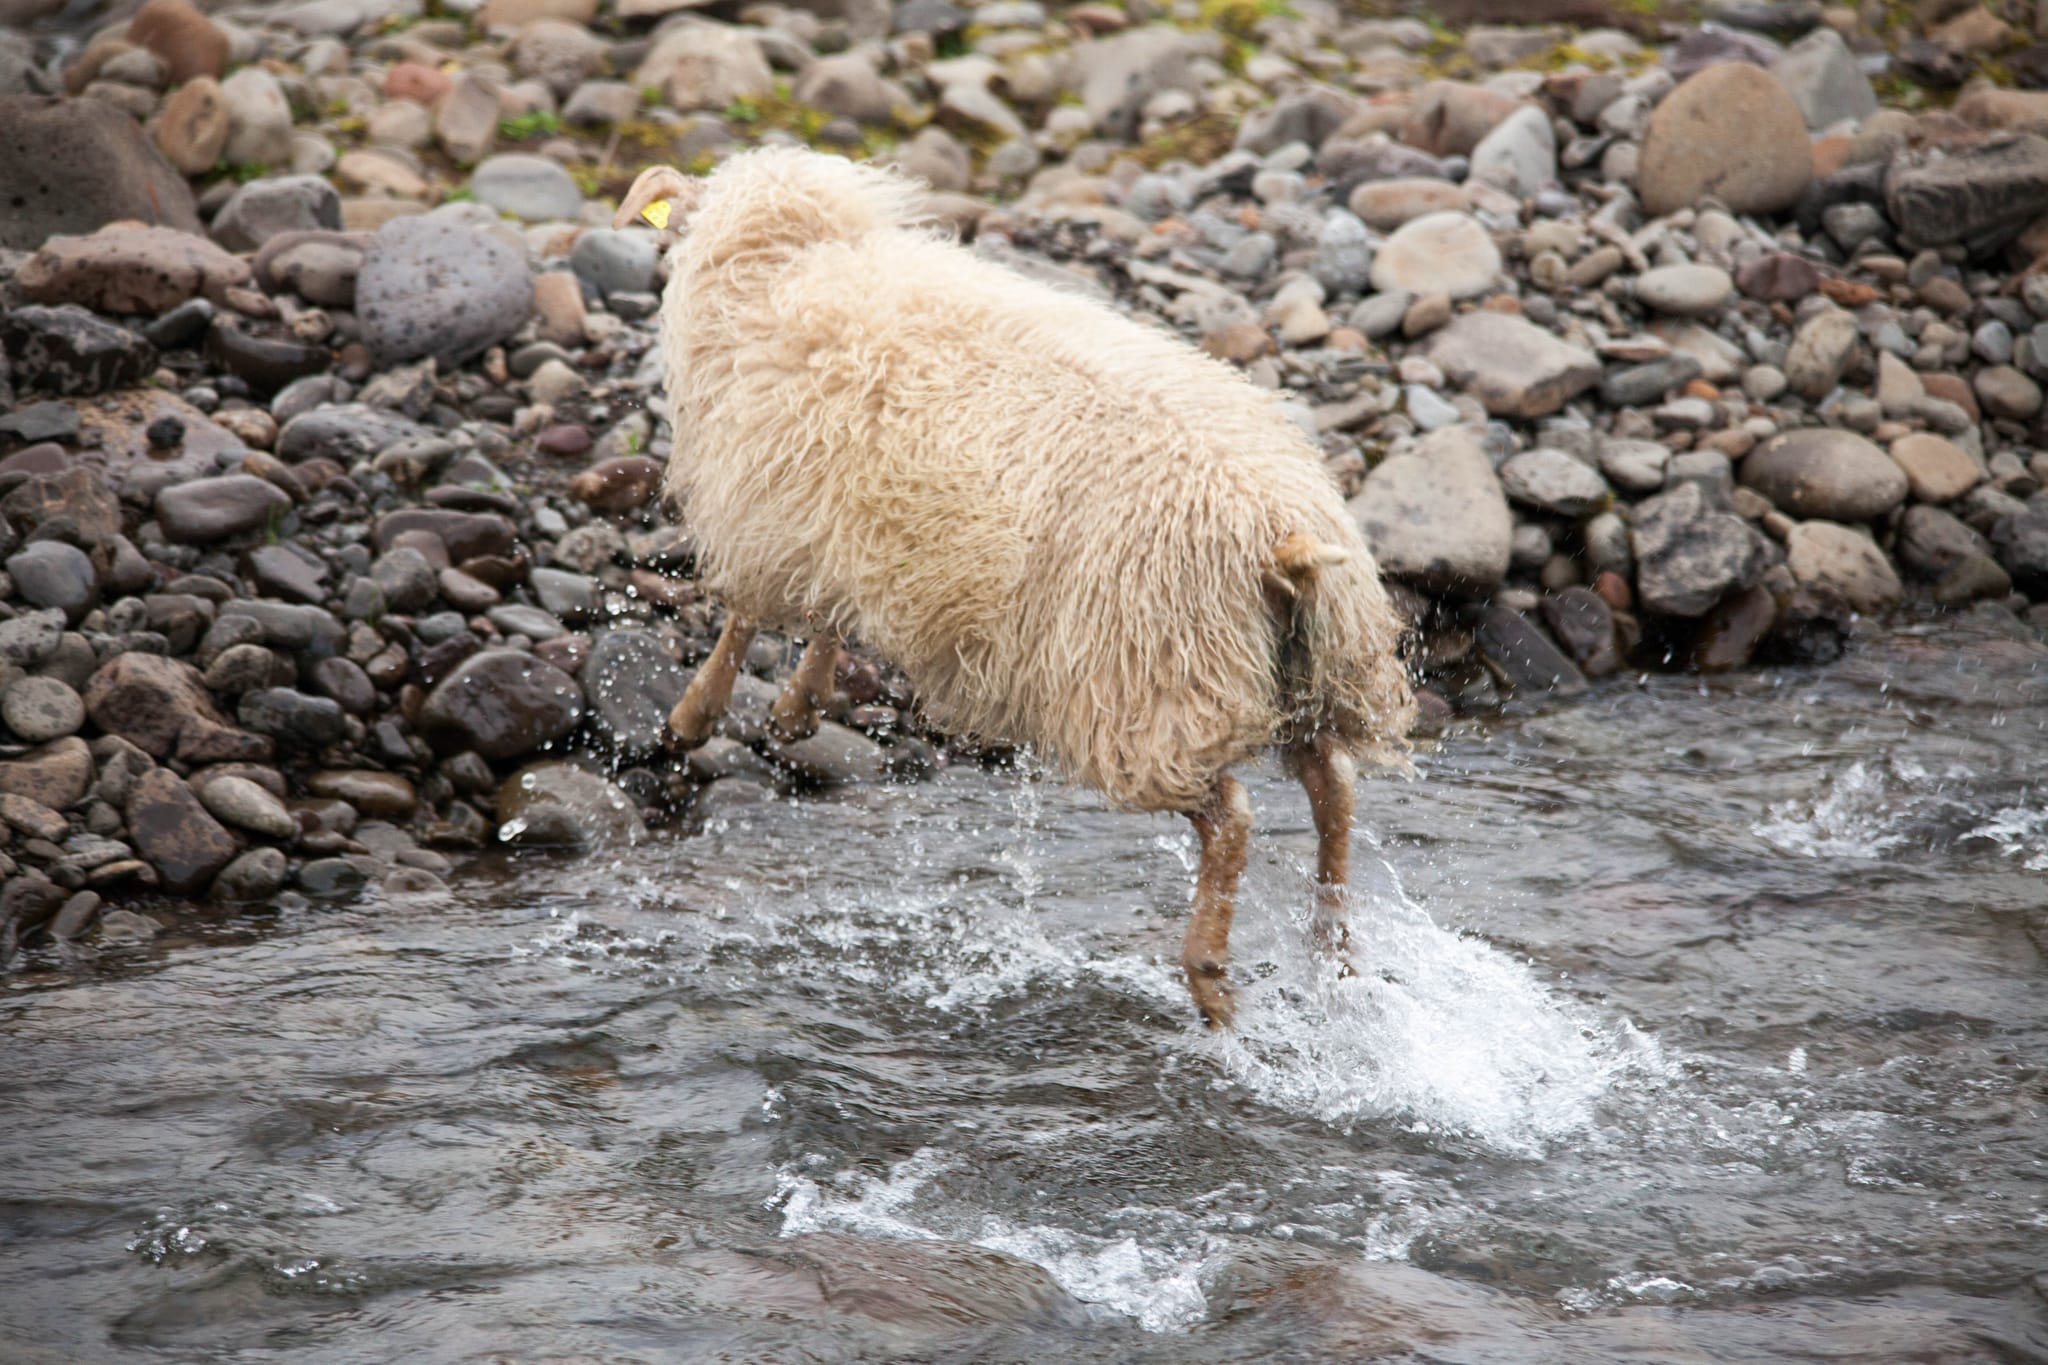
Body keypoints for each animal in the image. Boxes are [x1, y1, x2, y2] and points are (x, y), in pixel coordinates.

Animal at [614, 148, 1416, 1028]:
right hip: (1319, 670)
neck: (794, 261)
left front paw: (696, 715)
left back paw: (1208, 971)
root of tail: (1279, 532)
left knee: (1230, 817)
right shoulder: (847, 516)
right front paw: (797, 706)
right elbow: (827, 612)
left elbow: (743, 615)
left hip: (1149, 692)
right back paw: (1333, 946)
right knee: (1333, 786)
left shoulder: (765, 505)